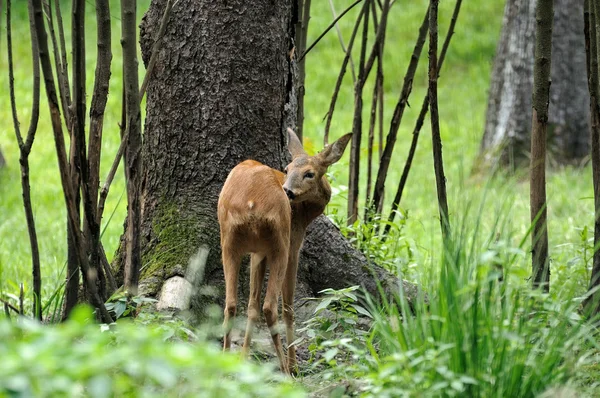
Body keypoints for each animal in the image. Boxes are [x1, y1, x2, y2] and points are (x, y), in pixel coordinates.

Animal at [218, 128, 352, 374]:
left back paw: (224, 362)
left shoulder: (258, 252)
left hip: (229, 241)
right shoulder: (293, 246)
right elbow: (288, 307)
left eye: (309, 173)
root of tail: (251, 202)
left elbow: (251, 305)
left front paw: (243, 358)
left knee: (230, 304)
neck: (305, 213)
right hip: (280, 242)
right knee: (271, 307)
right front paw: (294, 364)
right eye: (287, 169)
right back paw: (286, 370)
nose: (288, 191)